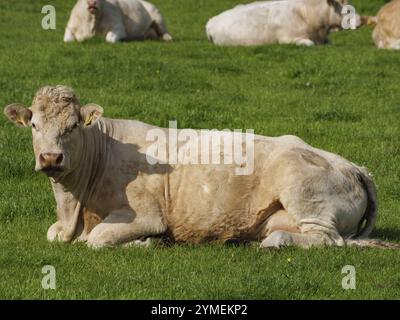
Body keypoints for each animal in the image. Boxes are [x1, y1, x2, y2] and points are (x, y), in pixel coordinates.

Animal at [3, 87, 400, 250]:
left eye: (72, 127)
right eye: (34, 125)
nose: (51, 158)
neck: (75, 207)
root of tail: (354, 165)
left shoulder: (145, 214)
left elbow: (97, 240)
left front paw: (147, 242)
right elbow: (54, 235)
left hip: (304, 193)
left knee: (327, 239)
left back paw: (273, 243)